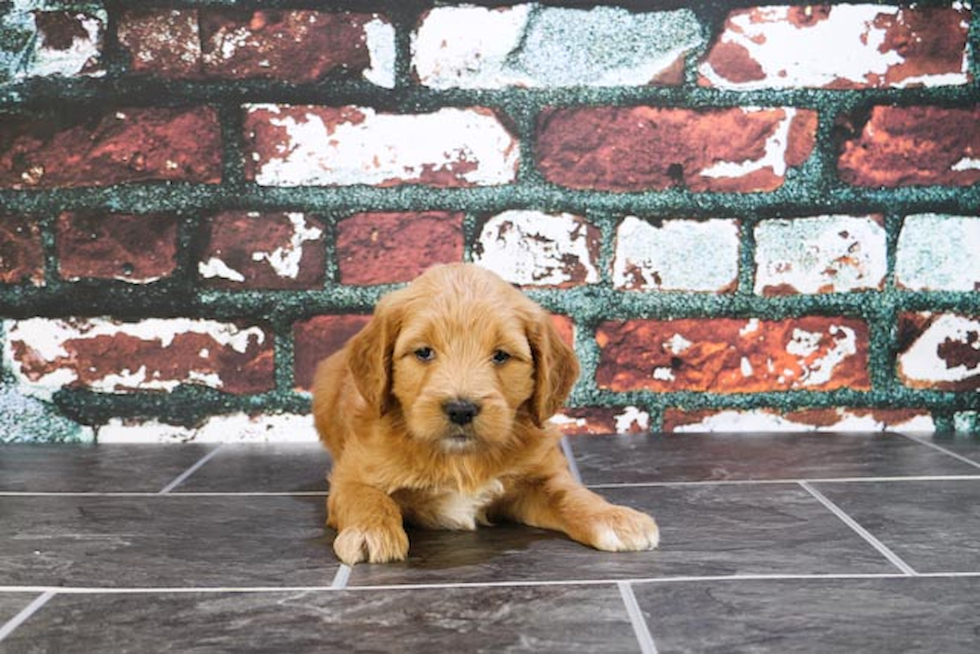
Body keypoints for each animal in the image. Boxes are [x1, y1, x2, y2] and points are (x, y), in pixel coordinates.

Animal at [312, 264, 660, 568]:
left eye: (501, 356)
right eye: (424, 352)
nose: (461, 409)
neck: (459, 459)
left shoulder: (541, 474)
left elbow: (570, 494)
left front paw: (614, 517)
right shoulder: (351, 474)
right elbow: (367, 497)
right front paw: (370, 531)